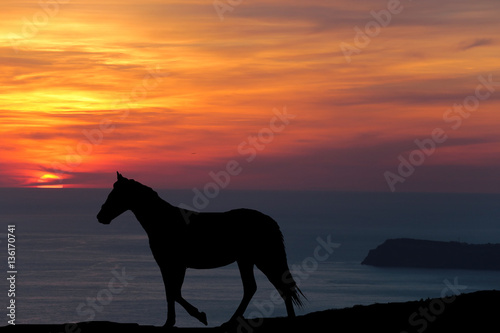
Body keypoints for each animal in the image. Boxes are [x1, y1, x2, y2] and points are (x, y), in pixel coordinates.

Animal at [95, 172, 302, 326]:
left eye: (115, 194)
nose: (101, 216)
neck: (164, 221)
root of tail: (269, 220)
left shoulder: (177, 265)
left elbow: (174, 292)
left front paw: (199, 315)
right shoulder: (166, 266)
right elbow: (170, 293)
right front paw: (169, 323)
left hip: (260, 258)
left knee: (275, 286)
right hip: (248, 259)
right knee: (260, 287)